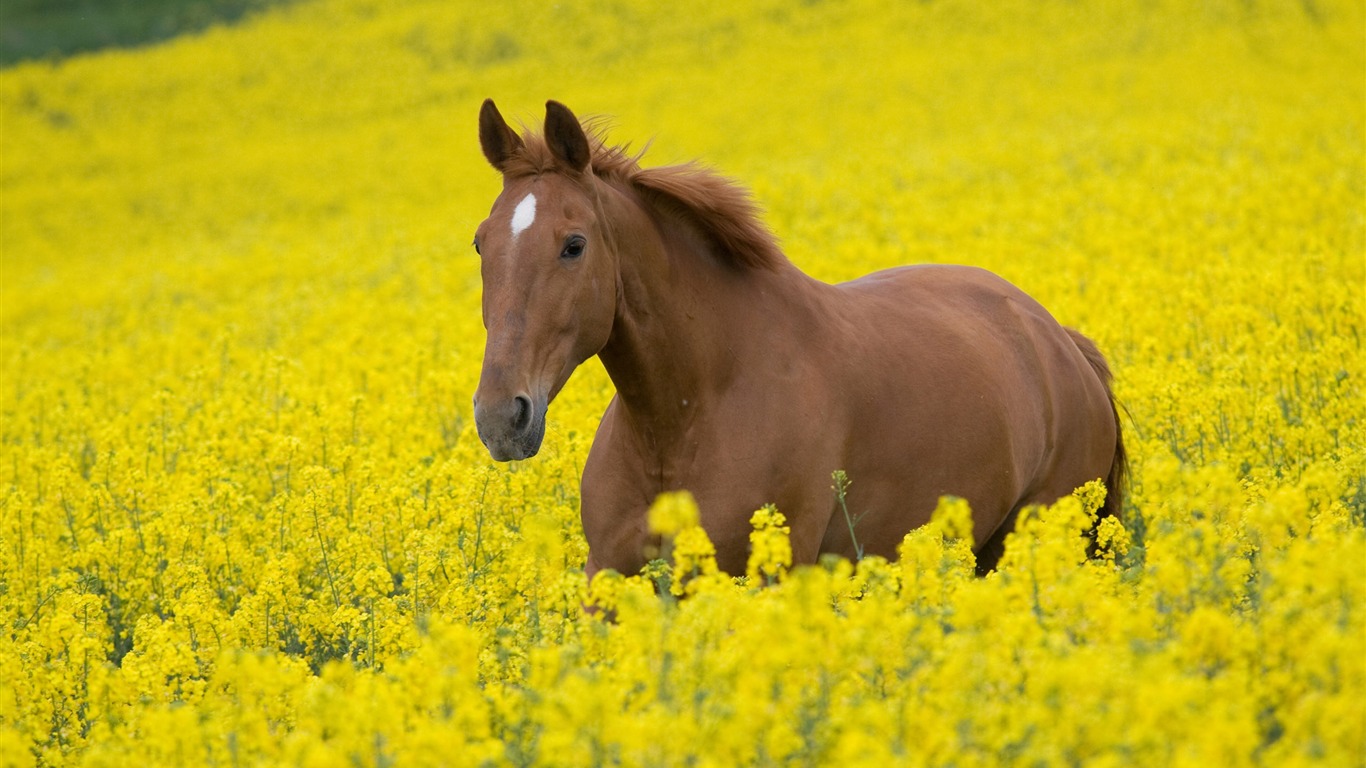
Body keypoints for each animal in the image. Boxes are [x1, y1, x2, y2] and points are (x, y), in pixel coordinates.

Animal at [469, 103, 1120, 579]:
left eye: (574, 244)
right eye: (481, 242)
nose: (502, 417)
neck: (684, 420)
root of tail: (1059, 340)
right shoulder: (607, 579)